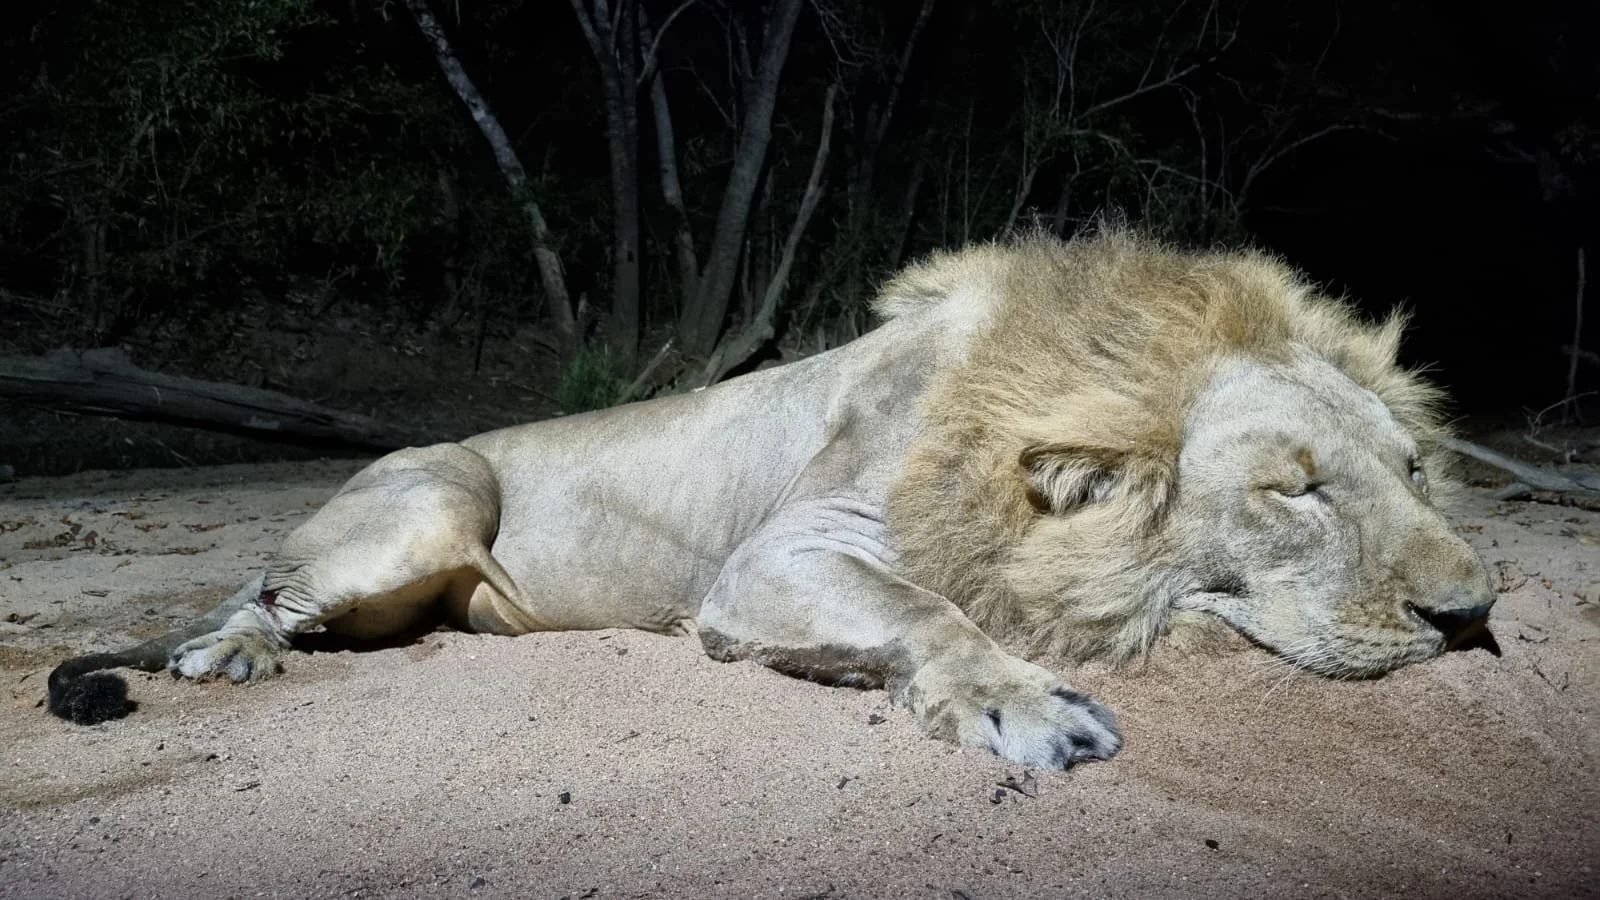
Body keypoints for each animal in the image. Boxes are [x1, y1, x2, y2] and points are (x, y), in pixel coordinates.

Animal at [47, 230, 1496, 770]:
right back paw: (227, 654)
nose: (1477, 615)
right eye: (1294, 491)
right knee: (259, 587)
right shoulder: (774, 560)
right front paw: (1026, 706)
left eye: (1414, 469)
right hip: (432, 499)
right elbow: (930, 613)